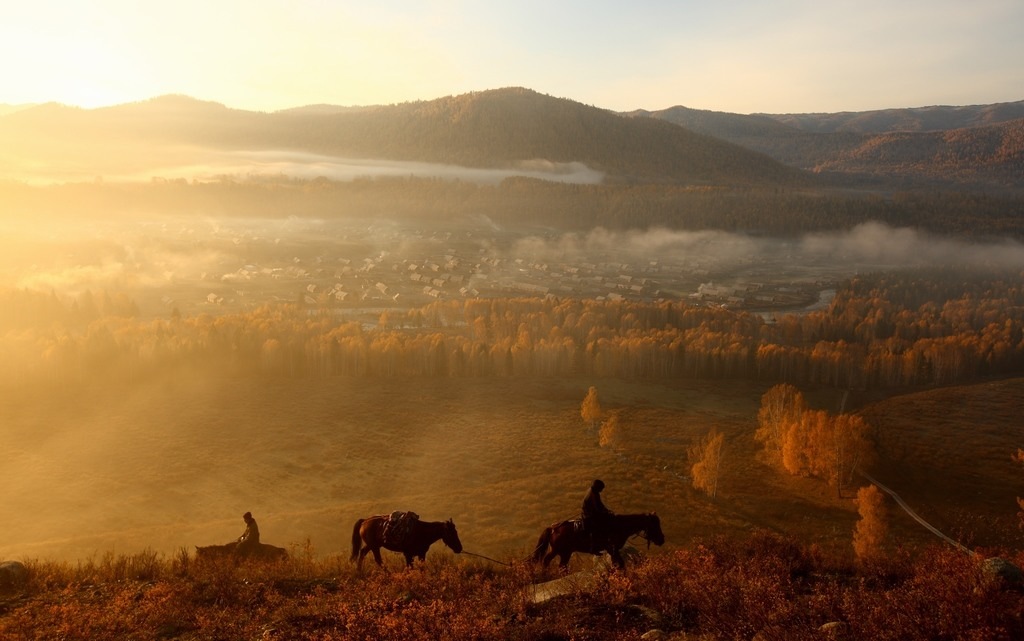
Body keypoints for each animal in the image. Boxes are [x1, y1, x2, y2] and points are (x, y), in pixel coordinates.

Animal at [532, 511, 667, 565]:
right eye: (655, 524)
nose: (661, 539)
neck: (620, 525)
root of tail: (553, 528)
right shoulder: (613, 549)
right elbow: (620, 564)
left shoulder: (613, 551)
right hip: (560, 552)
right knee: (547, 561)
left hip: (564, 553)